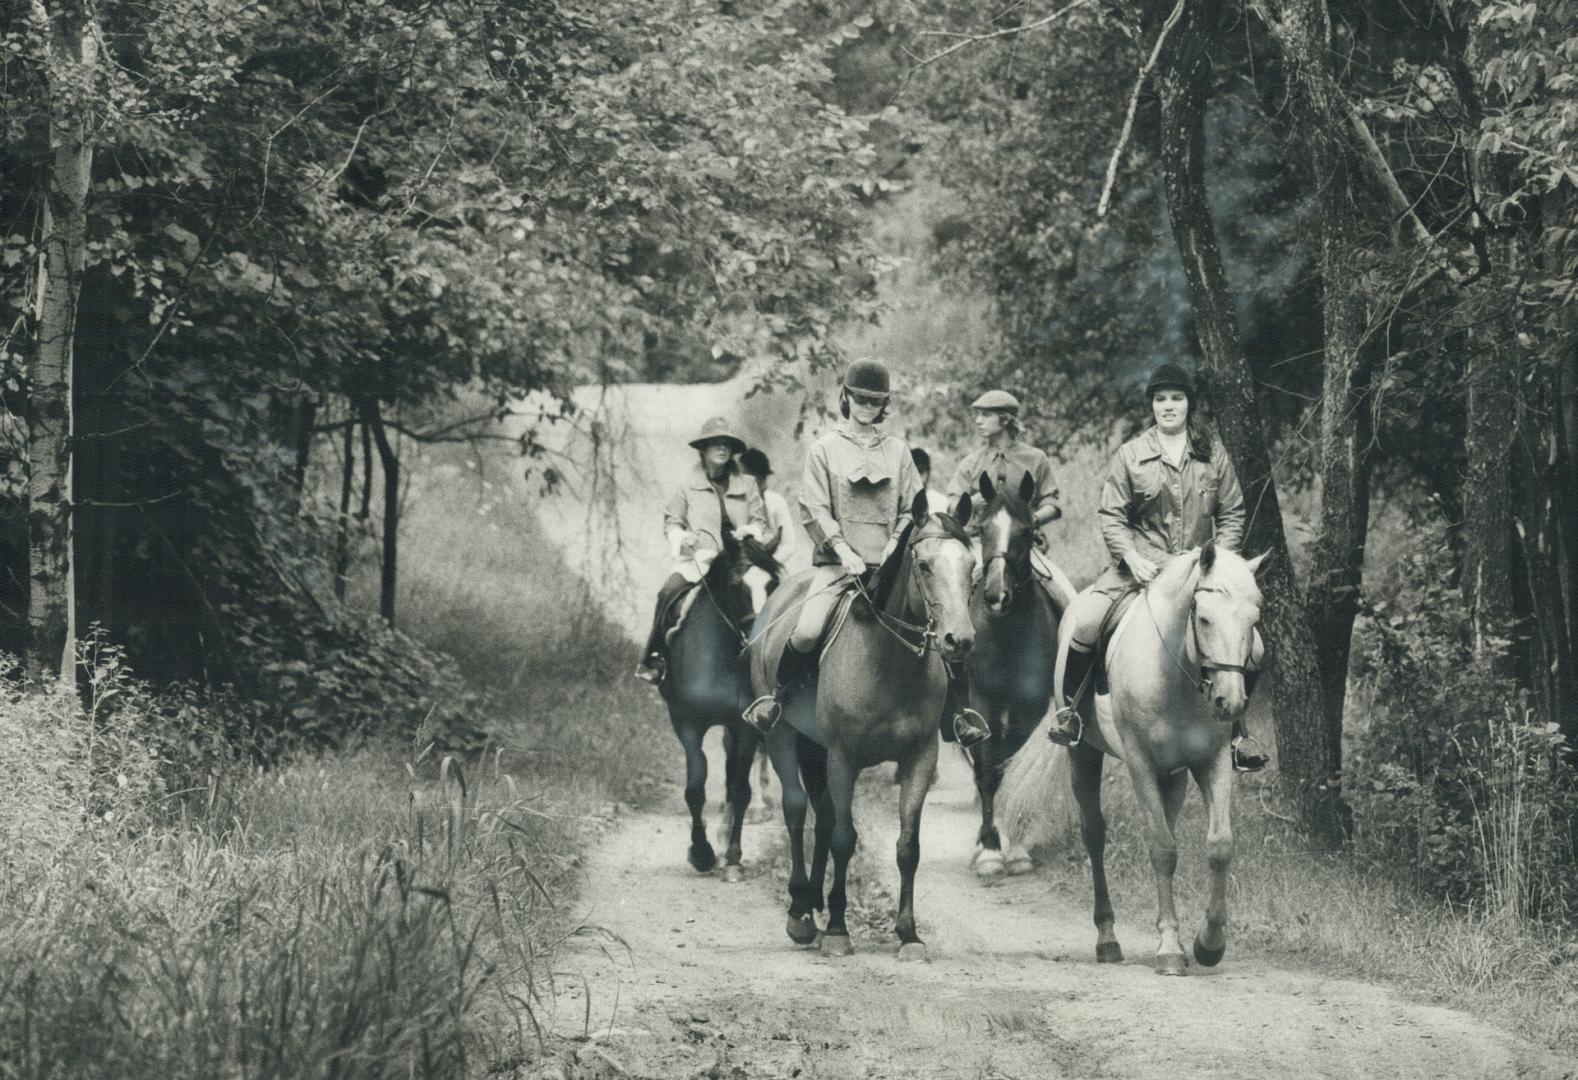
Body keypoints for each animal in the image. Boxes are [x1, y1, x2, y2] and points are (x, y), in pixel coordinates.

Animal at [656, 527, 779, 884]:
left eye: (773, 585)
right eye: (738, 586)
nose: (761, 642)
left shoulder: (745, 726)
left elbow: (739, 789)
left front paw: (733, 859)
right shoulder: (686, 724)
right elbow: (695, 789)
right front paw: (701, 853)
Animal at [747, 492, 972, 960]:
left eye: (971, 566)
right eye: (925, 566)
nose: (959, 641)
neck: (890, 659)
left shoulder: (920, 756)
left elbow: (907, 846)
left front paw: (909, 934)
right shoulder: (843, 757)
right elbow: (845, 839)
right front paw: (837, 929)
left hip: (814, 748)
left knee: (823, 816)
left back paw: (812, 904)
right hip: (783, 737)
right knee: (796, 809)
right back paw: (800, 913)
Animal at [959, 473, 1060, 877]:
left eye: (1027, 531)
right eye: (983, 529)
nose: (996, 596)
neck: (1007, 632)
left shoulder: (1027, 706)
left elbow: (1009, 762)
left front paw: (1013, 848)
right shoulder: (982, 701)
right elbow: (988, 770)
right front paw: (989, 849)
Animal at [1054, 543, 1275, 972]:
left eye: (1253, 620)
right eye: (1203, 618)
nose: (1230, 702)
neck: (1176, 674)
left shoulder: (1213, 762)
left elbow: (1219, 846)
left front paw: (1208, 943)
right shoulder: (1139, 762)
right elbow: (1162, 849)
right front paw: (1171, 947)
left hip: (1172, 774)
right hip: (1084, 754)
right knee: (1094, 833)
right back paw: (1107, 938)